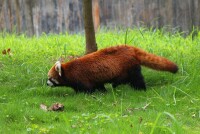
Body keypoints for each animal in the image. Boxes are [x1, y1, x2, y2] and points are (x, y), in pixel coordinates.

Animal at [47, 45, 178, 93]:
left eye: (50, 78)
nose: (46, 83)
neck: (68, 70)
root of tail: (131, 48)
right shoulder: (95, 79)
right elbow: (98, 85)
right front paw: (103, 91)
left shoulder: (81, 78)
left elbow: (87, 88)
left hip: (129, 67)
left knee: (136, 79)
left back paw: (140, 89)